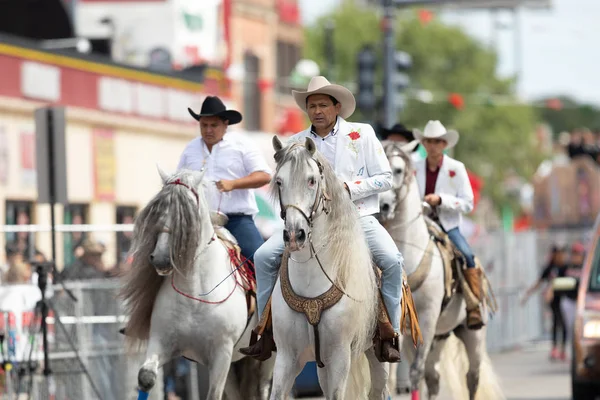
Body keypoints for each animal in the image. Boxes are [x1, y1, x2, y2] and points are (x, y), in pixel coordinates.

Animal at [121, 168, 274, 400]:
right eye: (158, 210)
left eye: (186, 213)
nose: (160, 259)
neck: (196, 292)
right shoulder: (162, 341)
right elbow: (146, 378)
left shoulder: (221, 353)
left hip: (265, 359)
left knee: (264, 387)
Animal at [380, 143, 502, 400]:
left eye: (397, 169)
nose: (383, 206)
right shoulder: (405, 327)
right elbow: (395, 372)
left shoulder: (427, 319)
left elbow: (415, 373)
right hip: (440, 336)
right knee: (433, 379)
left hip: (473, 336)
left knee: (472, 377)